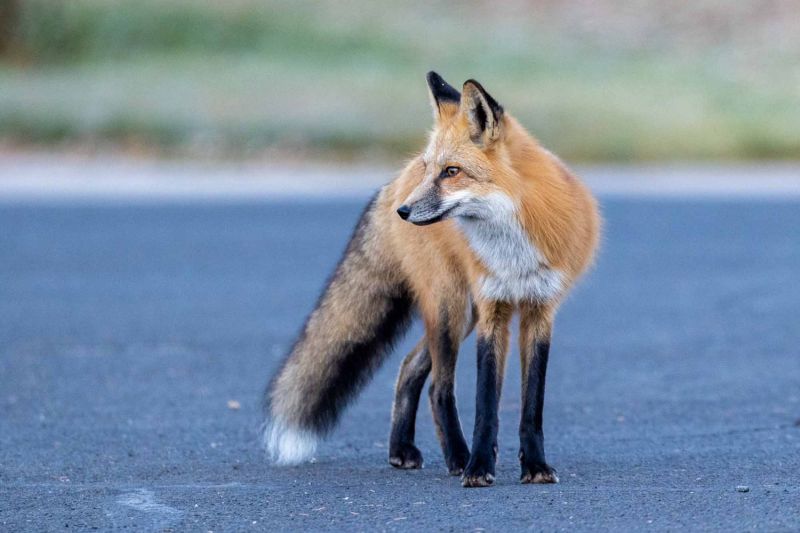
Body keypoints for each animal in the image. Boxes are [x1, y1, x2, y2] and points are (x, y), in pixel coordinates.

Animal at [262, 70, 600, 486]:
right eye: (431, 169)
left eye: (452, 171)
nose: (403, 211)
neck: (512, 247)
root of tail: (393, 183)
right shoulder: (493, 309)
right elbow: (485, 402)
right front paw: (479, 467)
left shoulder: (540, 309)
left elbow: (531, 403)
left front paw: (535, 465)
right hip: (450, 308)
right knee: (439, 386)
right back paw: (458, 457)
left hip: (461, 316)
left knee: (409, 367)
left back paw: (401, 450)